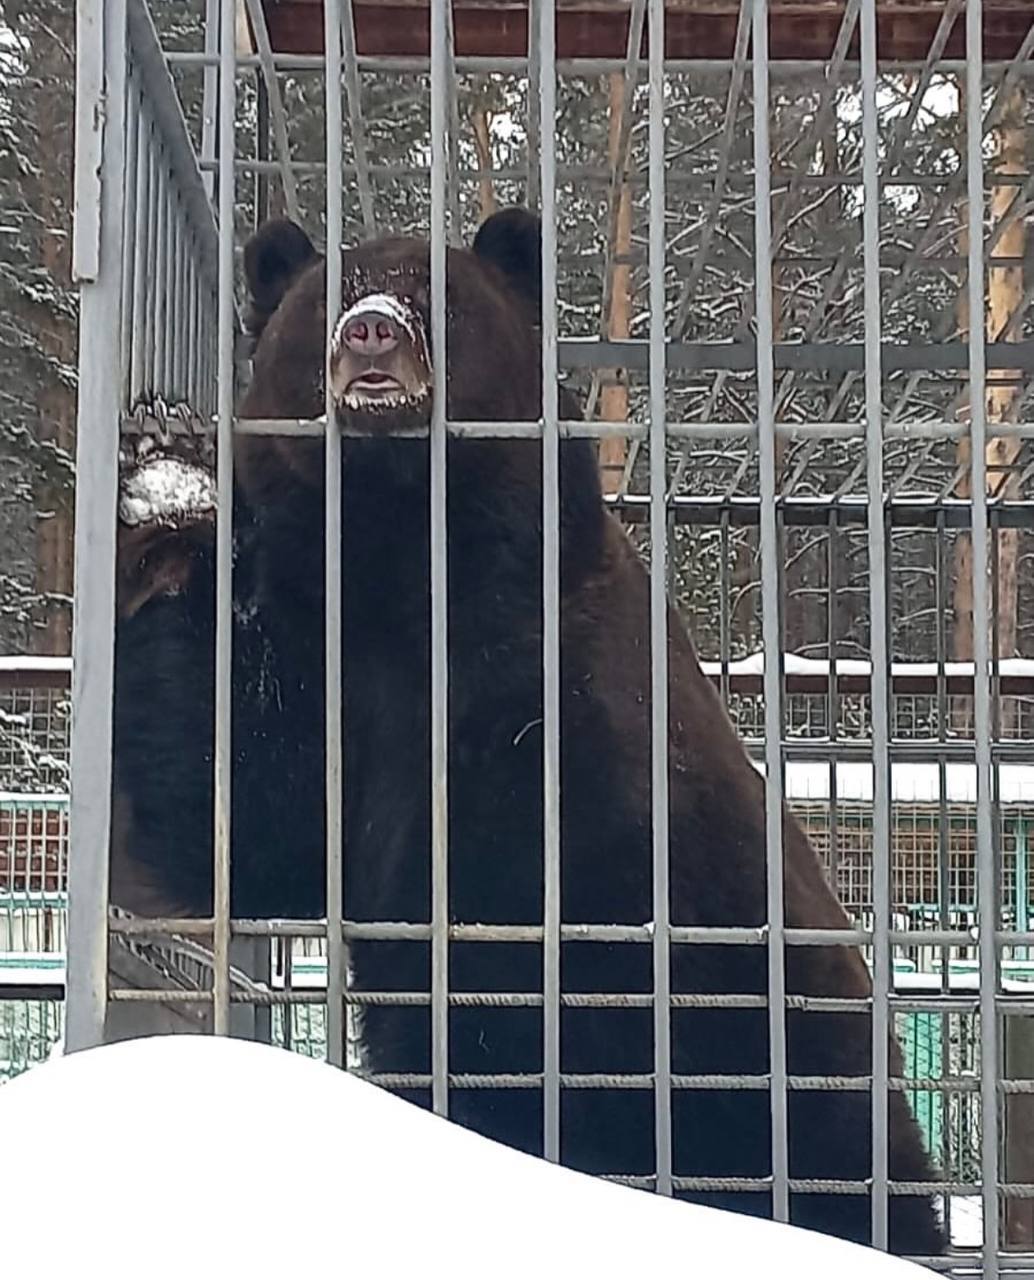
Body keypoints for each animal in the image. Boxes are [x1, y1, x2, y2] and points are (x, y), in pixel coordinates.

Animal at [110, 207, 946, 1257]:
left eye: (439, 293)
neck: (408, 570)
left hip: (814, 1092)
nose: (372, 333)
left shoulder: (565, 710)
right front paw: (165, 471)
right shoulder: (340, 686)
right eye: (327, 297)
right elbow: (246, 814)